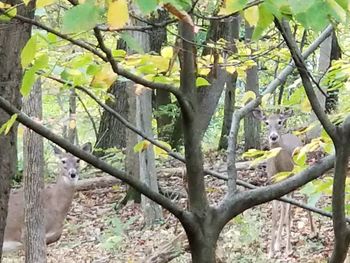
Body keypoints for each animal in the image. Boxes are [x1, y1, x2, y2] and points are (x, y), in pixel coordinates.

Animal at [252, 108, 304, 258]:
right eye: (266, 122)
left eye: (280, 121)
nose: (274, 137)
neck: (280, 168)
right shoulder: (272, 185)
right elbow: (275, 217)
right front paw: (270, 251)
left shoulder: (292, 182)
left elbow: (288, 214)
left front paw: (288, 249)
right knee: (283, 209)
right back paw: (277, 245)